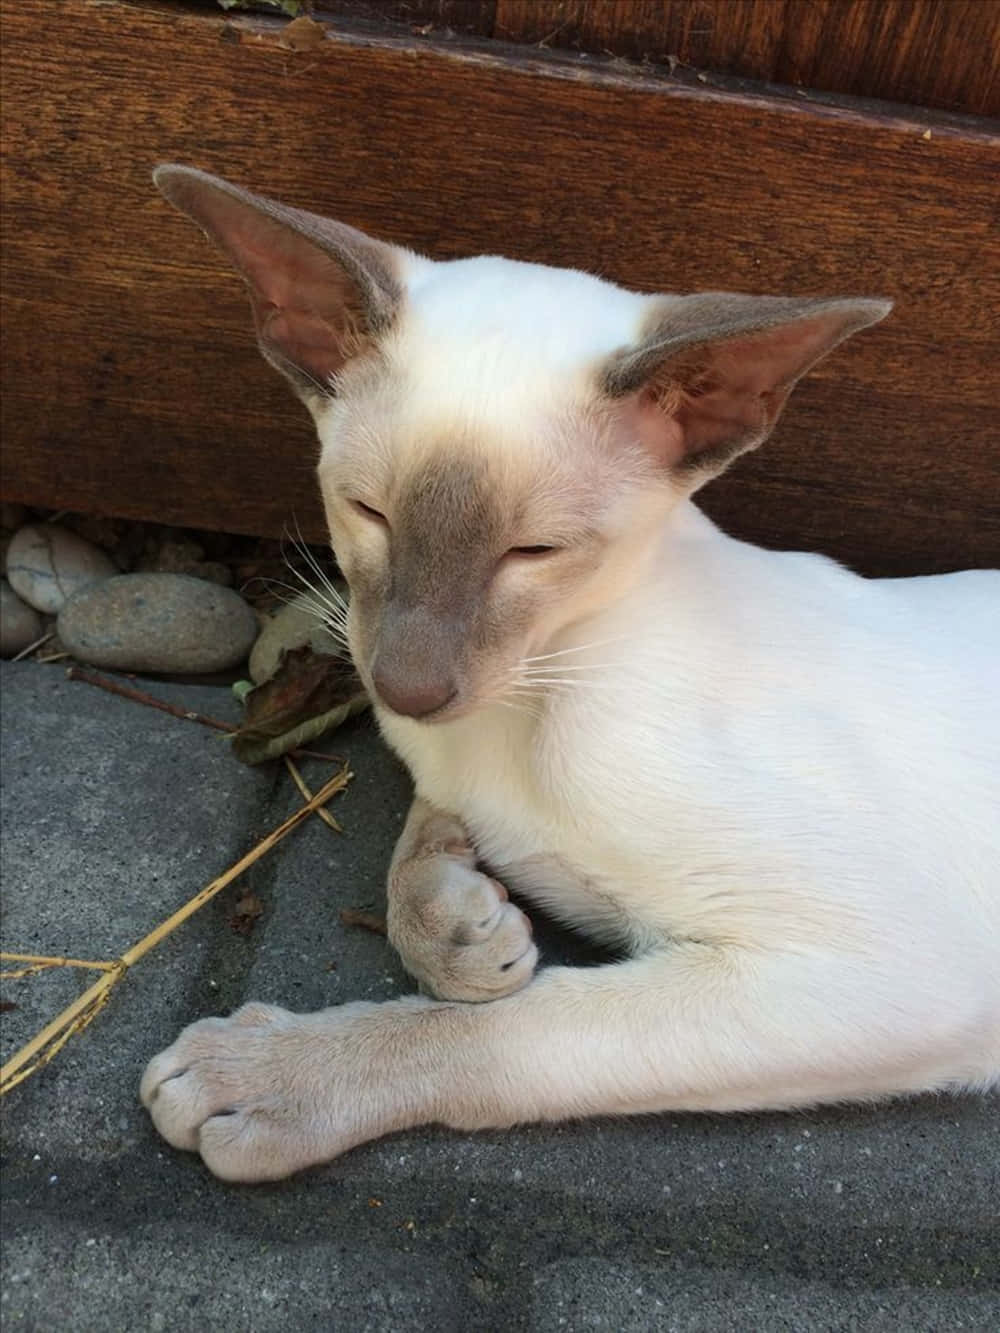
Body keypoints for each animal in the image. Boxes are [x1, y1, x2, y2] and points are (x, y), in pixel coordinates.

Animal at [137, 169, 997, 1189]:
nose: (407, 690)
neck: (542, 689)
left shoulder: (880, 975)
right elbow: (419, 858)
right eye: (367, 512)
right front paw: (465, 930)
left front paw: (272, 1076)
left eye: (533, 551)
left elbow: (509, 1032)